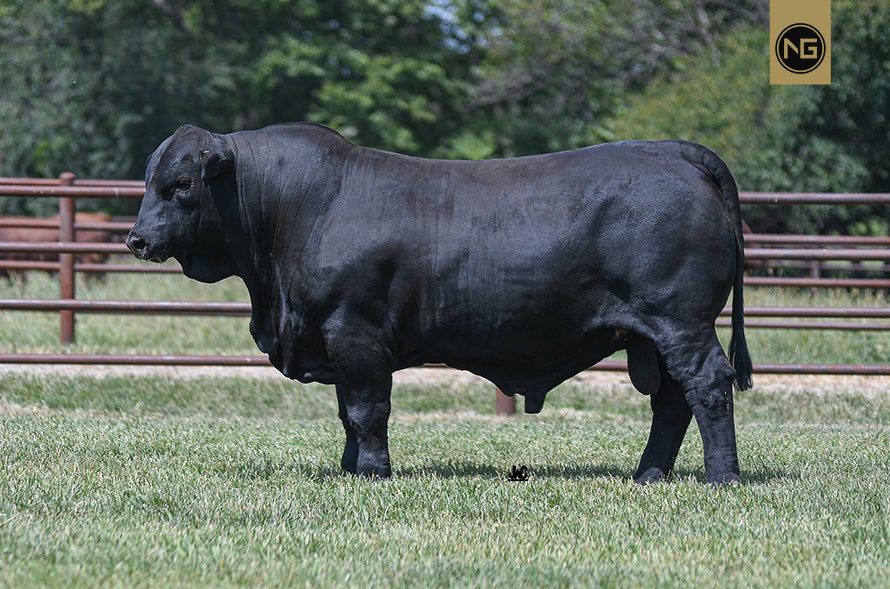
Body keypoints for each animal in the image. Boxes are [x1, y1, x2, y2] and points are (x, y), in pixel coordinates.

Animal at [127, 123, 753, 485]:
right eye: (149, 180)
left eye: (181, 184)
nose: (137, 239)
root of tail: (671, 152)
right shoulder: (335, 339)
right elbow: (347, 413)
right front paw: (349, 471)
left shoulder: (355, 331)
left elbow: (366, 410)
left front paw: (373, 473)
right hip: (654, 335)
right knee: (670, 403)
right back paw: (648, 475)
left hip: (681, 323)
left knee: (707, 386)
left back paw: (721, 477)